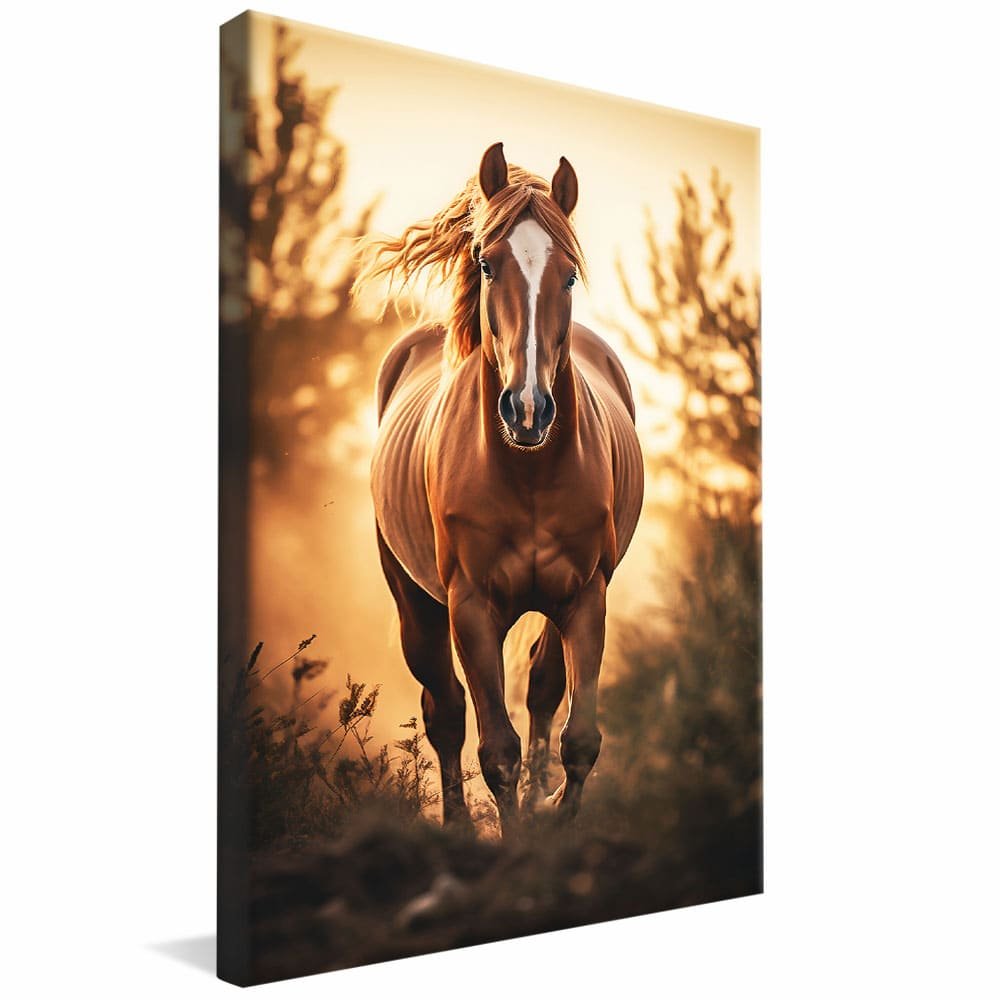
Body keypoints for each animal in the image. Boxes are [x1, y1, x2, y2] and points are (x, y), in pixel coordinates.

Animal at [356, 142, 643, 834]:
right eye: (488, 265)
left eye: (569, 276)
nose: (528, 409)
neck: (528, 472)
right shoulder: (471, 607)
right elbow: (495, 750)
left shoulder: (586, 596)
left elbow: (579, 737)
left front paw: (553, 822)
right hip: (415, 603)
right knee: (443, 707)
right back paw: (458, 825)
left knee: (539, 687)